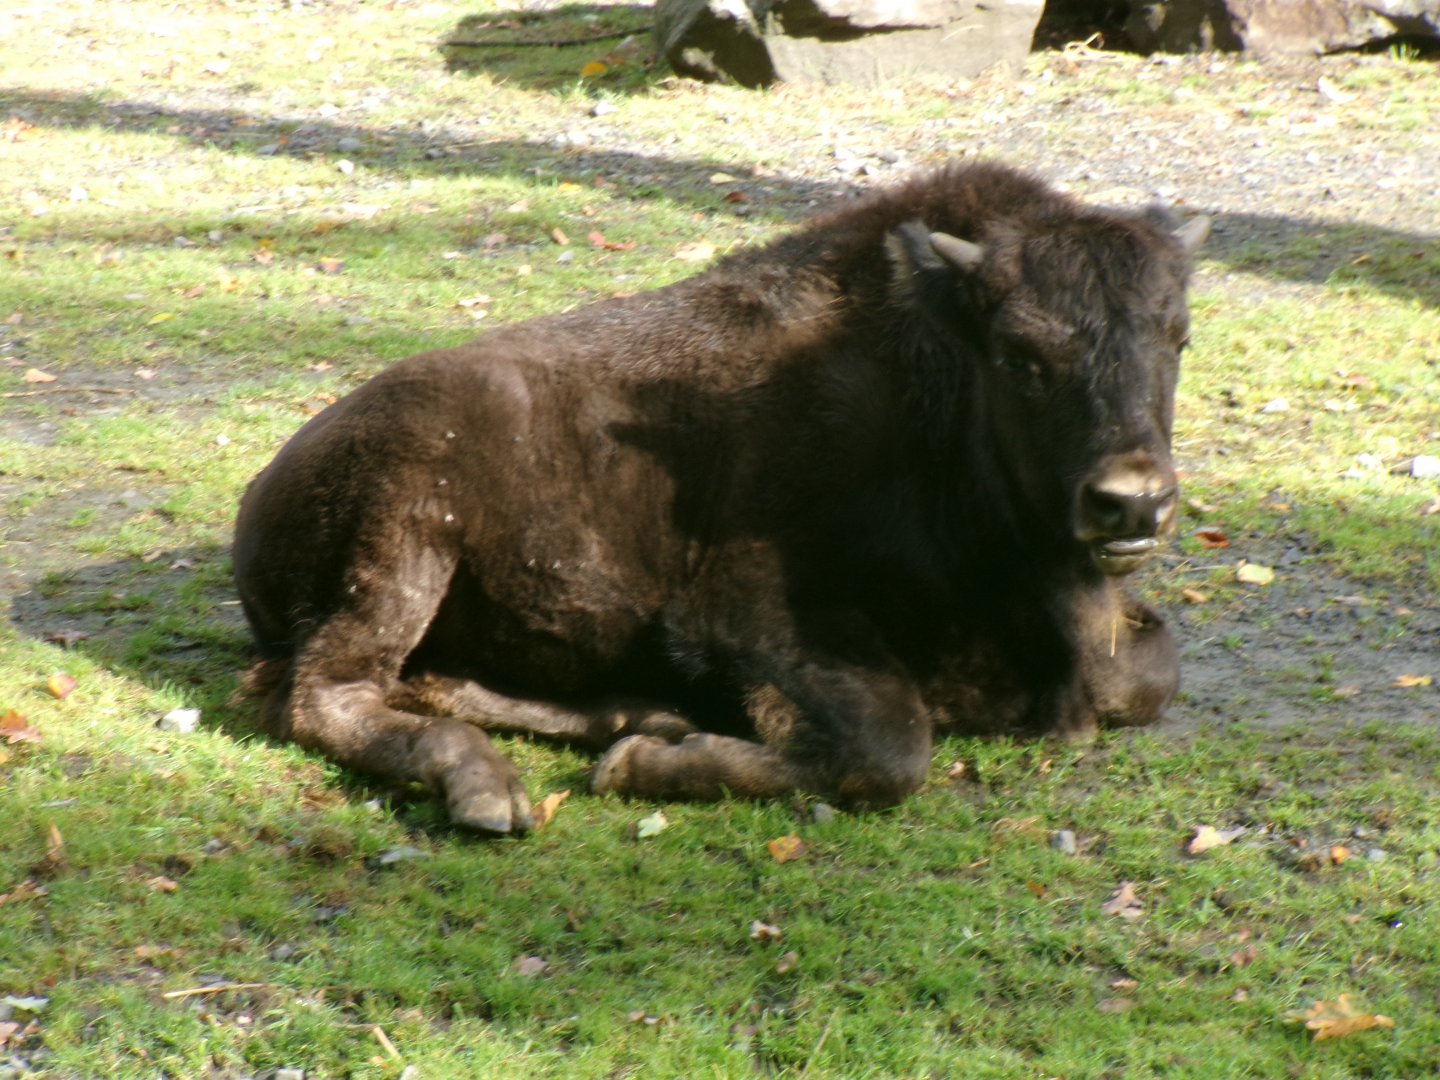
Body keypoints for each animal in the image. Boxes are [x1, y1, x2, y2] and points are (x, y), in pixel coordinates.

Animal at [233, 161, 1207, 834]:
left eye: (1179, 336)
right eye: (1019, 354)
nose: (1132, 503)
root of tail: (263, 490)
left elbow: (1146, 675)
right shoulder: (748, 613)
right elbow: (890, 749)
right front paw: (639, 770)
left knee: (423, 683)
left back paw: (636, 714)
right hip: (404, 541)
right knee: (325, 697)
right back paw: (495, 789)